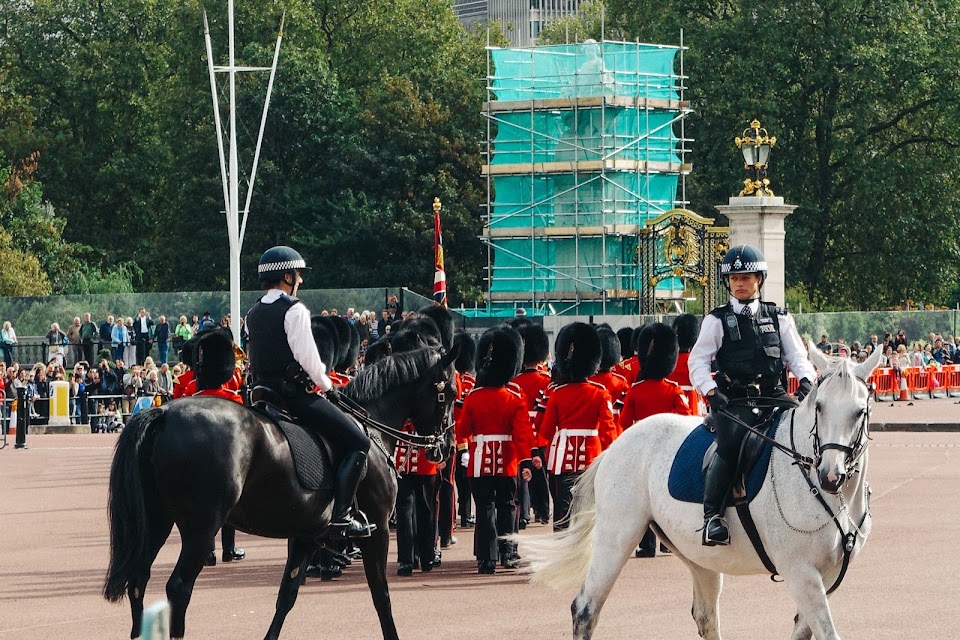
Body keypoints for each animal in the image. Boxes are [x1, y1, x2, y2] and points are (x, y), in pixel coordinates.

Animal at [102, 348, 458, 636]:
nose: (444, 448)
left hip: (156, 522)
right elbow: (381, 595)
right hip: (201, 528)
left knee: (138, 580)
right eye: (451, 392)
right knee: (178, 588)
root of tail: (163, 413)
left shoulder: (307, 535)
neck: (371, 429)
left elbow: (286, 596)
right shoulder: (378, 529)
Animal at [520, 344, 880, 640]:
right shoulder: (800, 572)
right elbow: (827, 632)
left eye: (860, 411)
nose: (830, 475)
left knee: (705, 617)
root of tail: (615, 445)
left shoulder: (827, 576)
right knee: (585, 608)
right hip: (616, 537)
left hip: (698, 556)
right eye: (819, 407)